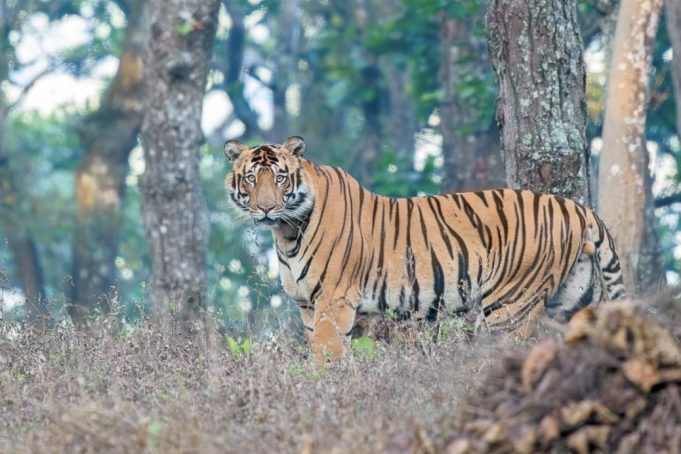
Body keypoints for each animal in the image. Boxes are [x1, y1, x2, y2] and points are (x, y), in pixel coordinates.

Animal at [224, 136, 626, 363]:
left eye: (280, 177)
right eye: (251, 178)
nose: (265, 208)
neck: (287, 230)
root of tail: (577, 207)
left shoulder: (332, 302)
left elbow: (327, 354)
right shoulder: (308, 306)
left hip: (510, 306)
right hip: (574, 299)